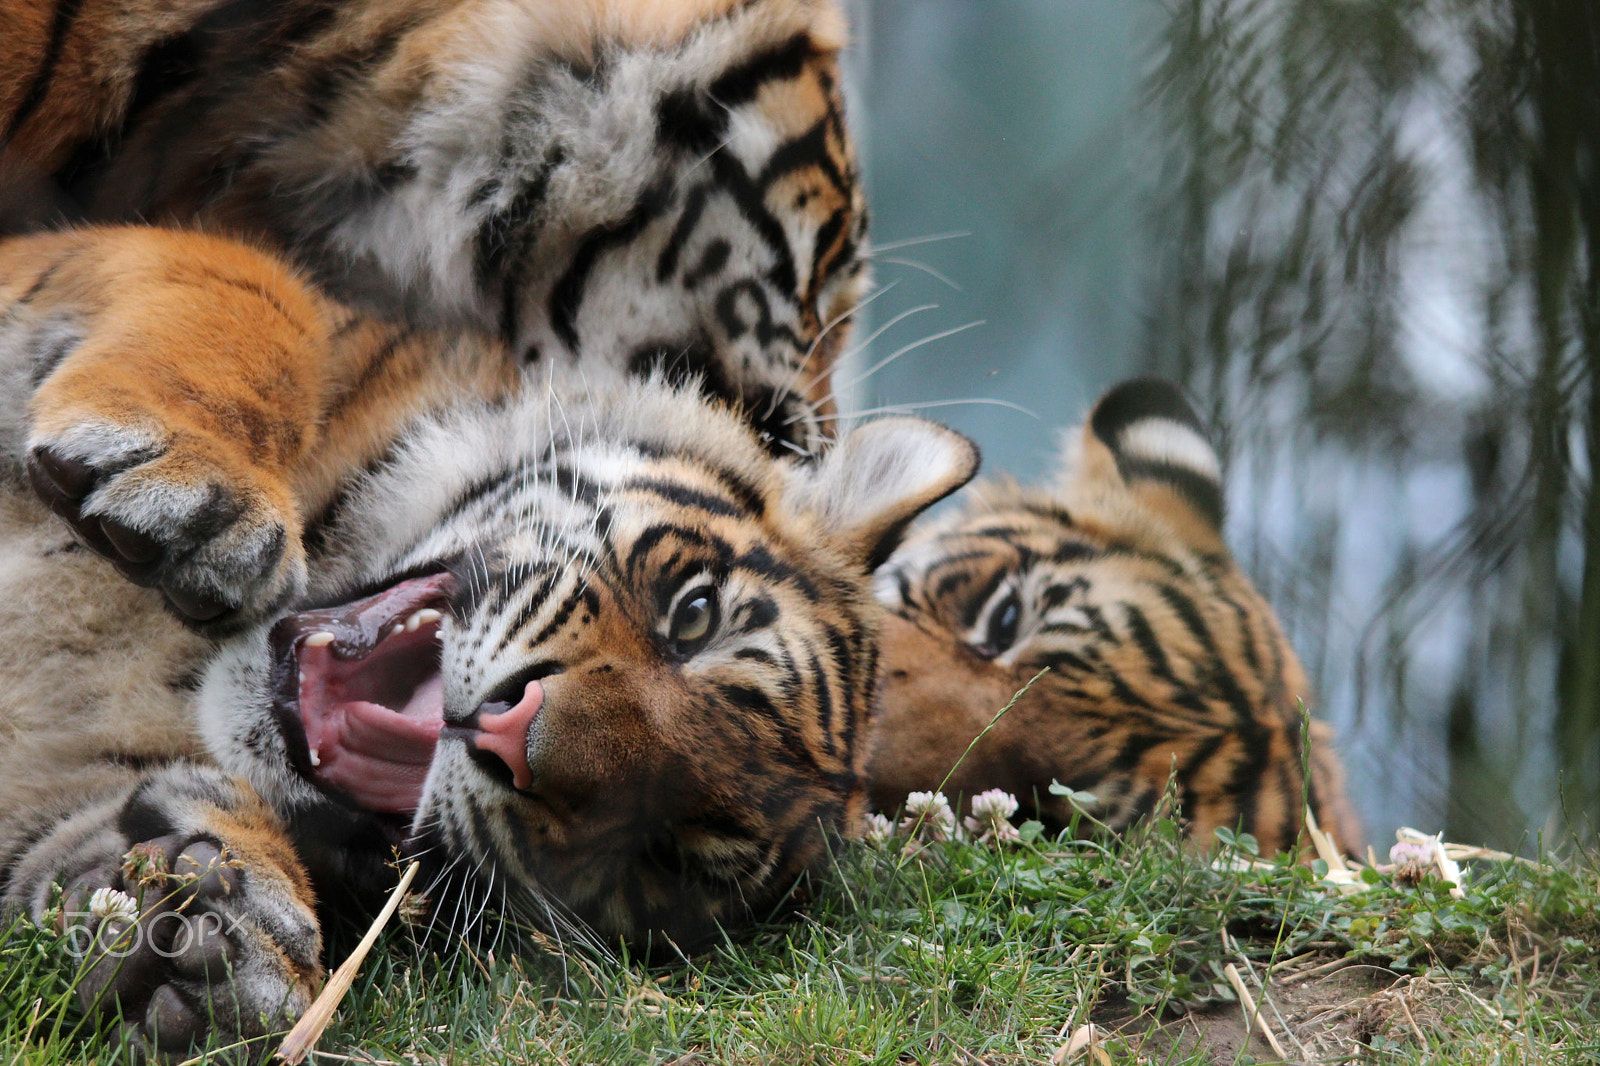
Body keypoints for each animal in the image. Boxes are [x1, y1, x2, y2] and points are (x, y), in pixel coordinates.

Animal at [0, 225, 978, 1059]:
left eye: (667, 846)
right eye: (694, 616)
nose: (512, 733)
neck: (175, 676)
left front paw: (204, 939)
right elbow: (239, 284)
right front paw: (191, 487)